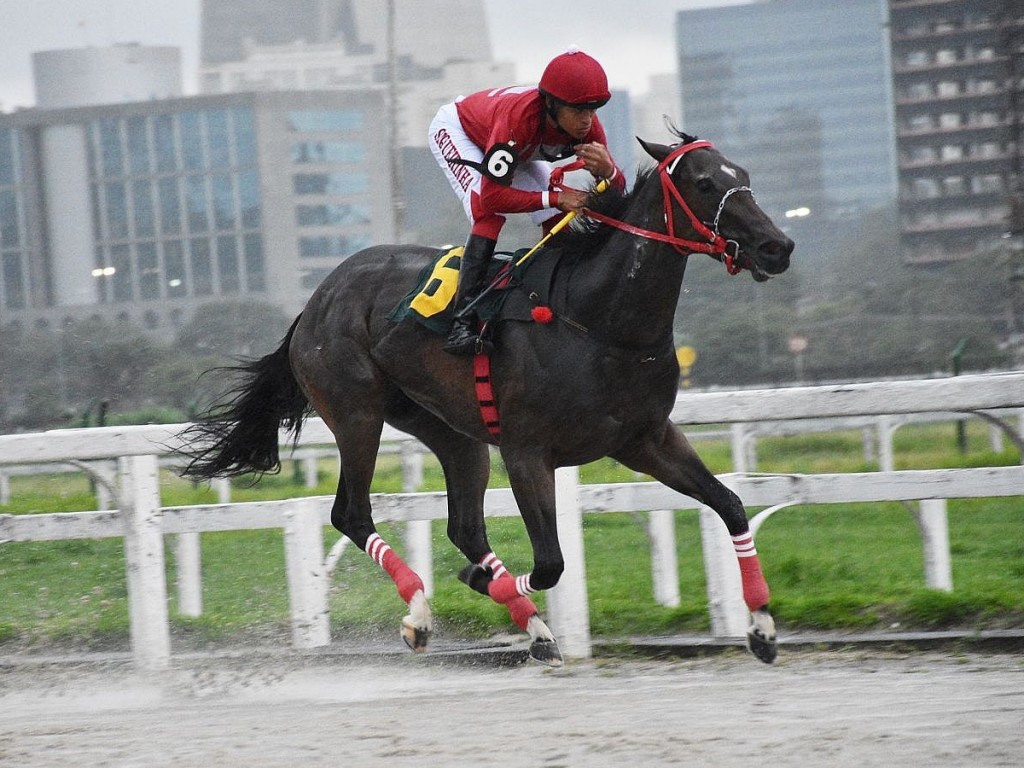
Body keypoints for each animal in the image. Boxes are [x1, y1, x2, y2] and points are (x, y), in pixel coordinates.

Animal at [180, 132, 794, 667]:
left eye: (743, 176)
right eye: (705, 183)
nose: (778, 247)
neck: (598, 321)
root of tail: (314, 301)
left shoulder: (645, 439)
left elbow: (730, 503)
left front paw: (762, 627)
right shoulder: (528, 451)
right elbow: (550, 562)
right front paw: (479, 582)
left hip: (451, 431)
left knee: (464, 527)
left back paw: (534, 629)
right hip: (356, 413)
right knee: (352, 513)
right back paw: (421, 614)